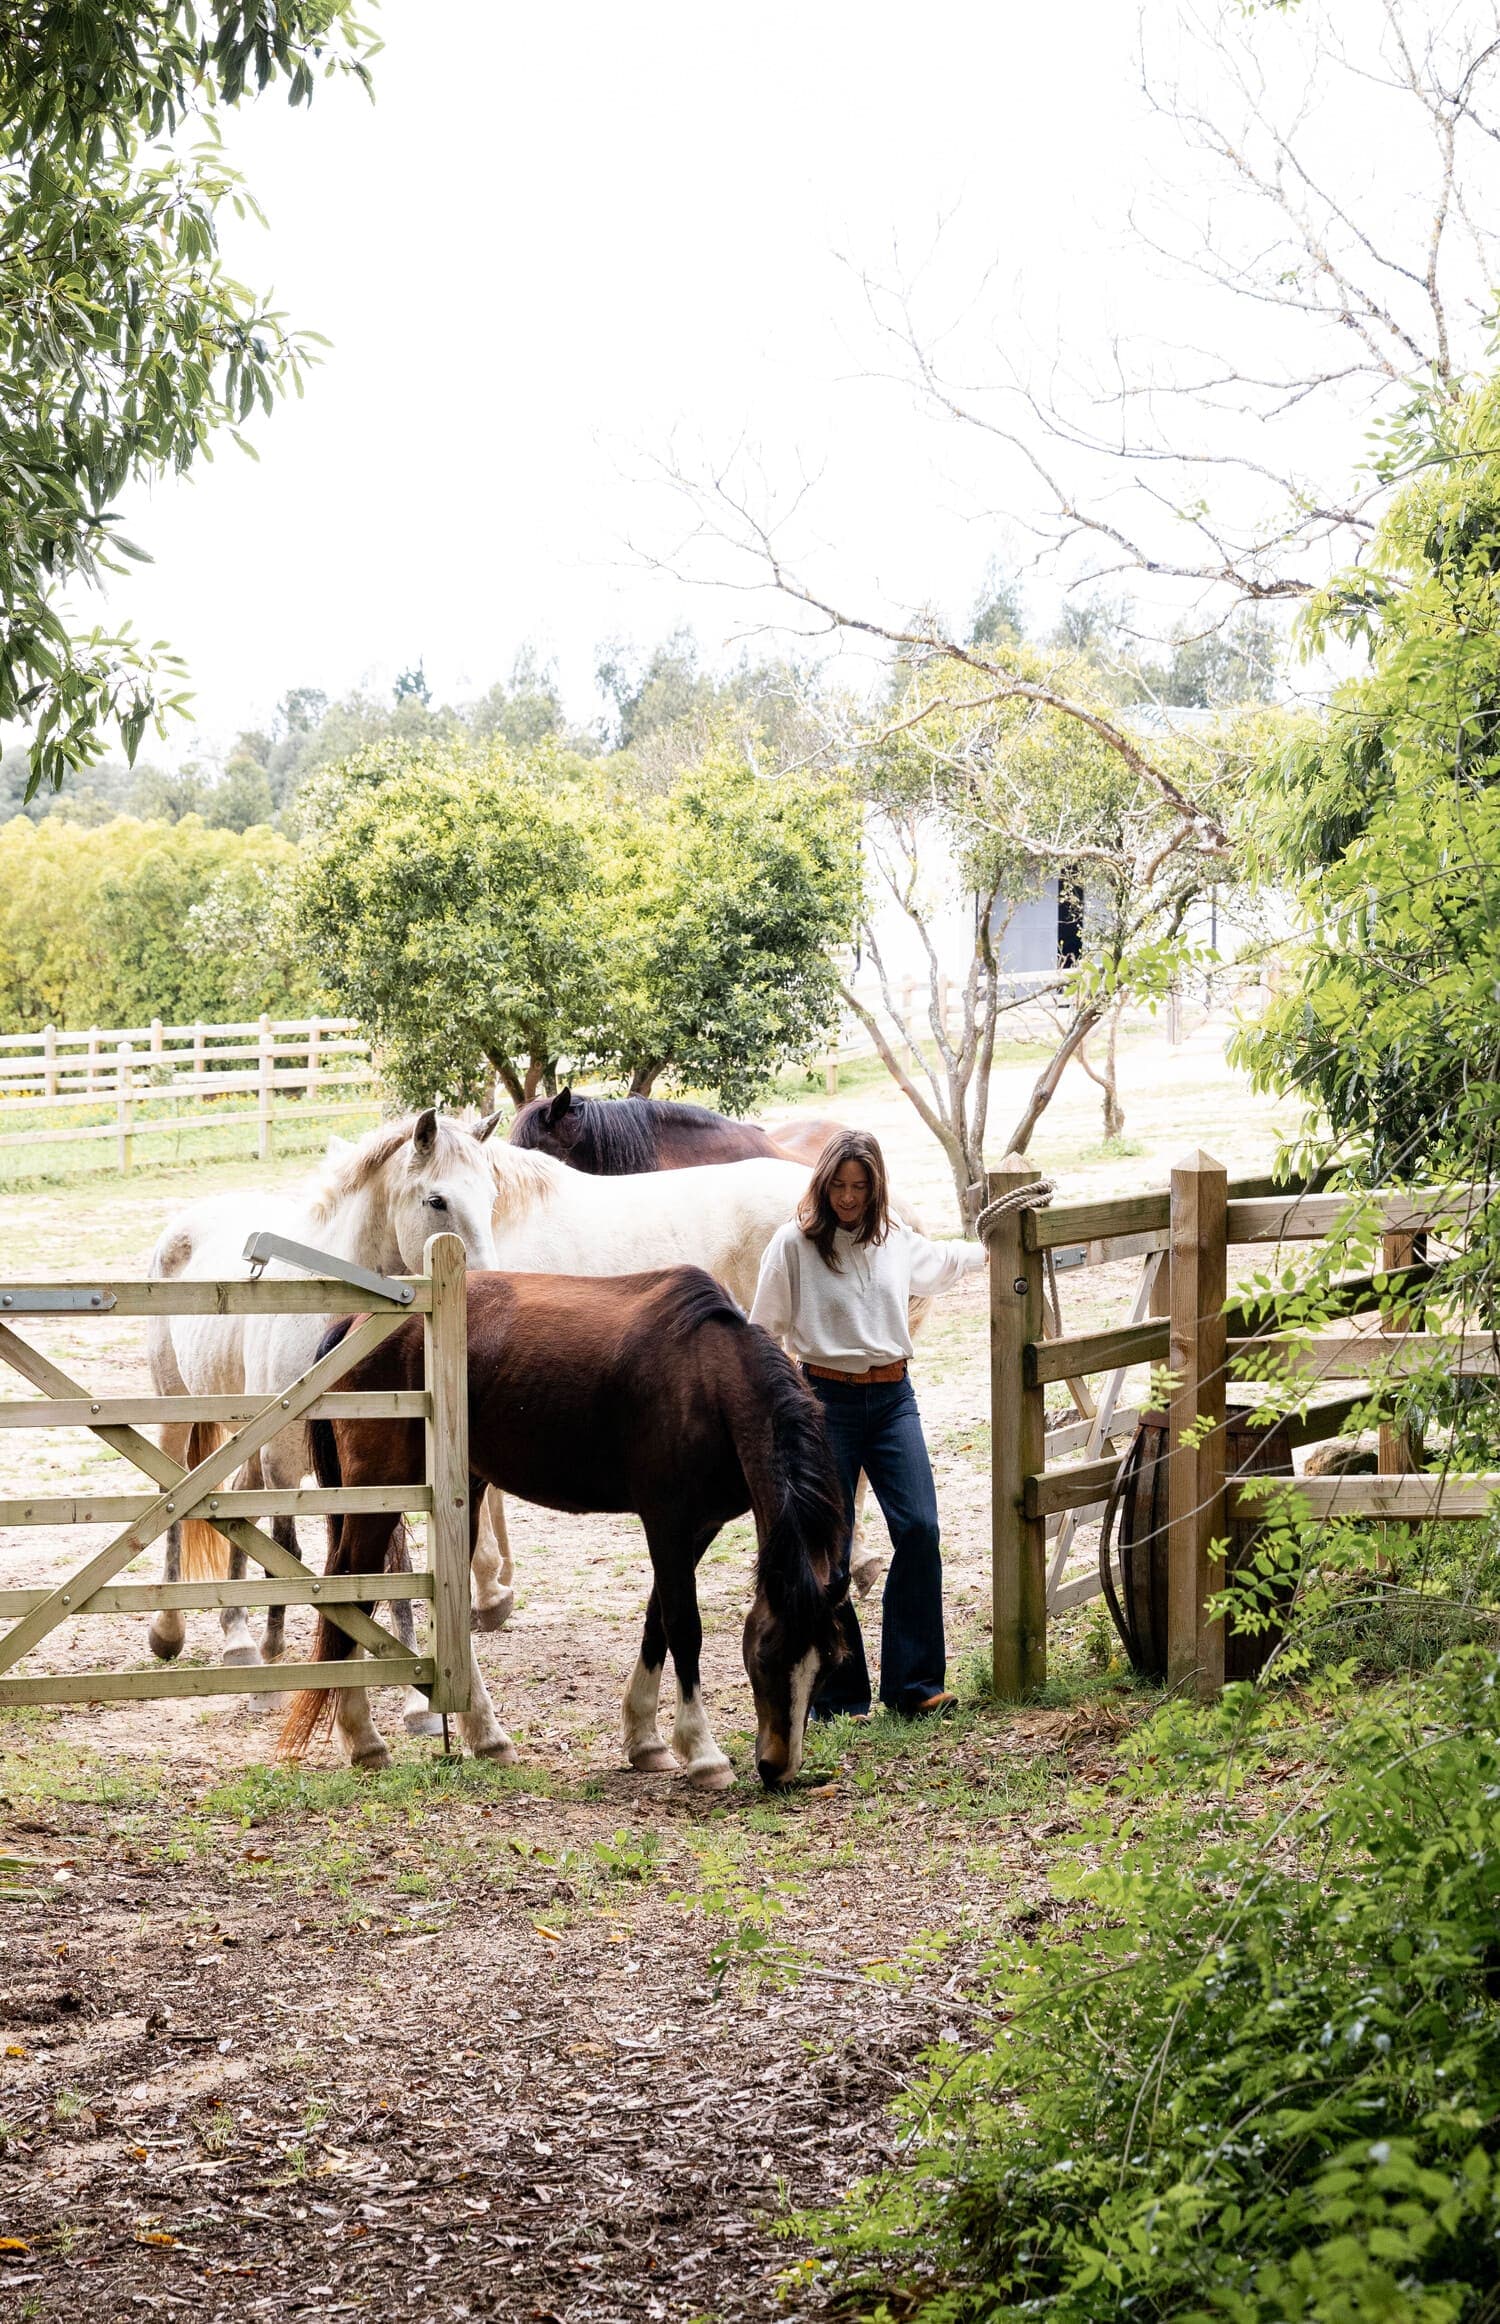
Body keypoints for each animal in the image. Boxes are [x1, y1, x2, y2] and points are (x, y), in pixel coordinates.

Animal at [144, 1111, 509, 1723]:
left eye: (492, 1197)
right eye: (437, 1200)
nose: (484, 1290)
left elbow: (390, 1562)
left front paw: (414, 1696)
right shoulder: (285, 1461)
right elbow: (286, 1552)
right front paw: (276, 1666)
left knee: (238, 1508)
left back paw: (237, 1640)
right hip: (180, 1418)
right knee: (177, 1511)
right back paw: (175, 1634)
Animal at [279, 1267, 848, 1789]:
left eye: (829, 1665)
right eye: (767, 1655)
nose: (777, 1768)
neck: (706, 1376)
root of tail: (356, 1323)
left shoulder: (698, 1527)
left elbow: (656, 1621)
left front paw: (645, 1739)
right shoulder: (666, 1520)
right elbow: (685, 1627)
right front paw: (703, 1752)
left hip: (462, 1495)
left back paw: (485, 1737)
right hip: (378, 1499)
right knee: (351, 1593)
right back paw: (364, 1739)